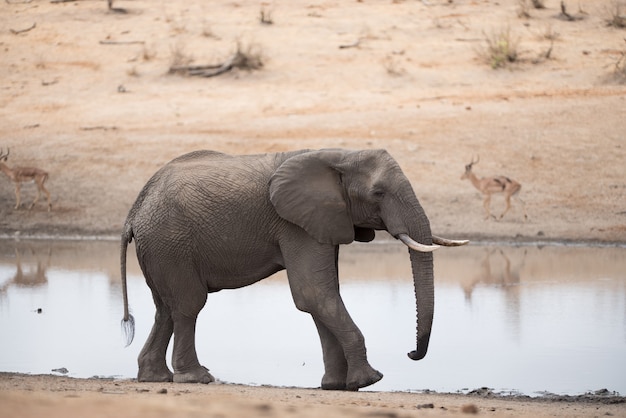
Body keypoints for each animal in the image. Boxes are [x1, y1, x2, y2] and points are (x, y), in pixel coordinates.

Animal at [119, 149, 466, 390]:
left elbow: (322, 296)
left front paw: (335, 386)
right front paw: (368, 381)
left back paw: (155, 377)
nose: (411, 354)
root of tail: (134, 211)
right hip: (170, 241)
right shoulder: (295, 224)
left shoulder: (324, 220)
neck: (340, 155)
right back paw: (196, 378)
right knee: (188, 305)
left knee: (165, 309)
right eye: (378, 193)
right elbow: (315, 295)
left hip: (160, 247)